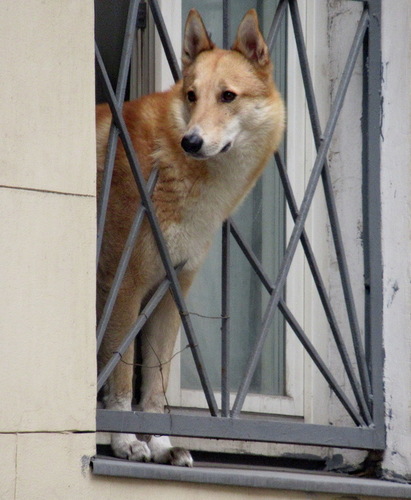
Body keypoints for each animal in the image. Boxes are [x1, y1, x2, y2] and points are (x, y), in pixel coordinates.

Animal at [96, 8, 284, 468]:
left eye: (228, 96)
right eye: (193, 96)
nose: (191, 141)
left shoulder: (167, 296)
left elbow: (155, 388)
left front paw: (161, 444)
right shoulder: (123, 289)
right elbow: (122, 376)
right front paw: (124, 441)